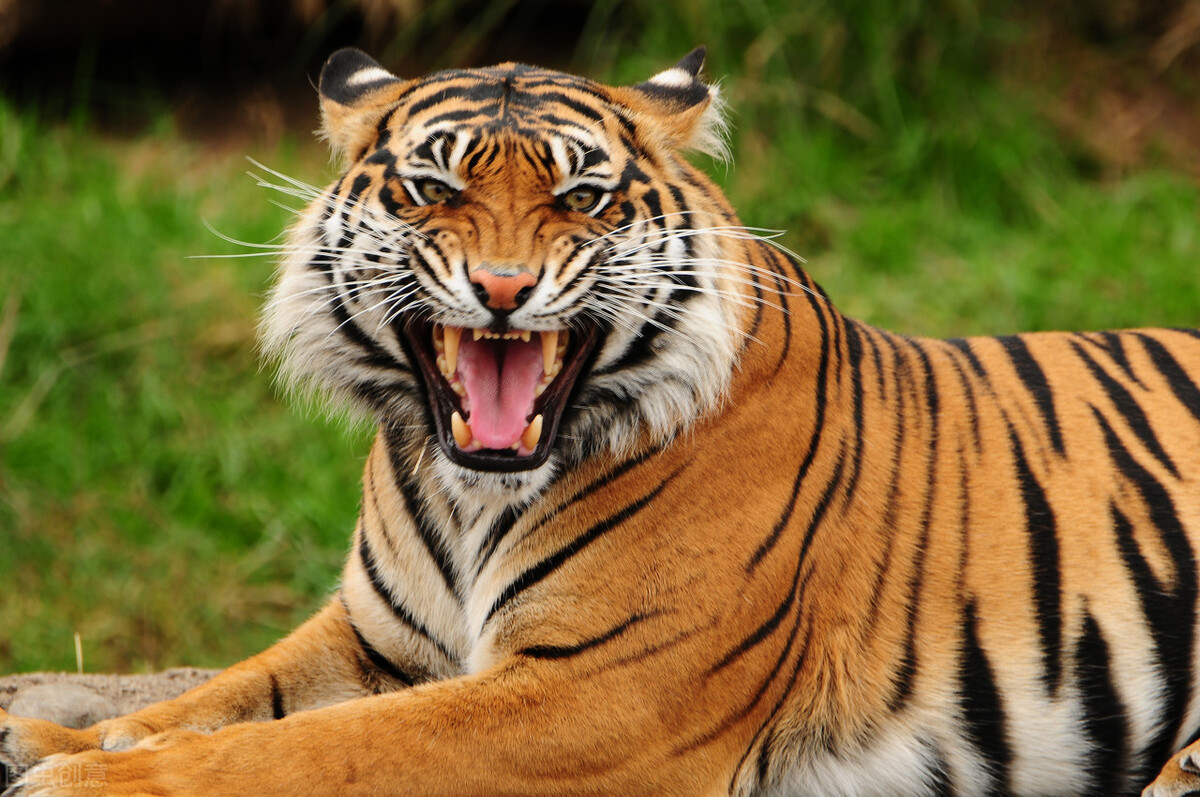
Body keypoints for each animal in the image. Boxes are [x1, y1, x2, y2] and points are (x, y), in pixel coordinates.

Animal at [3, 45, 1200, 797]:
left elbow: (308, 750)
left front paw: (79, 773)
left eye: (580, 199)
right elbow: (222, 696)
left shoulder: (601, 695)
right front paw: (50, 734)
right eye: (434, 190)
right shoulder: (377, 640)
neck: (466, 492)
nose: (500, 288)